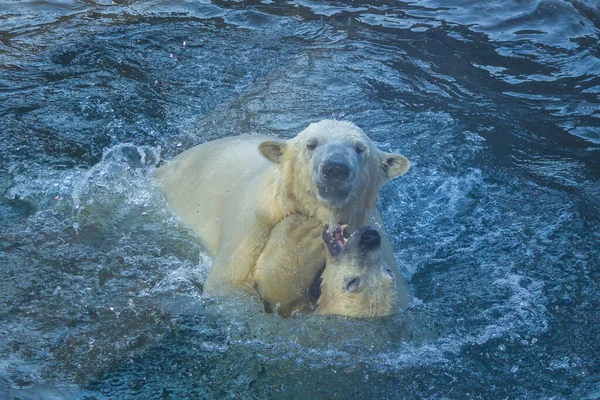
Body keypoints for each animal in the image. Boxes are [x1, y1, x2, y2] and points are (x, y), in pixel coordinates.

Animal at [154, 119, 412, 306]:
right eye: (311, 144)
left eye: (360, 149)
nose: (335, 169)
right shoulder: (253, 220)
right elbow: (229, 282)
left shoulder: (368, 228)